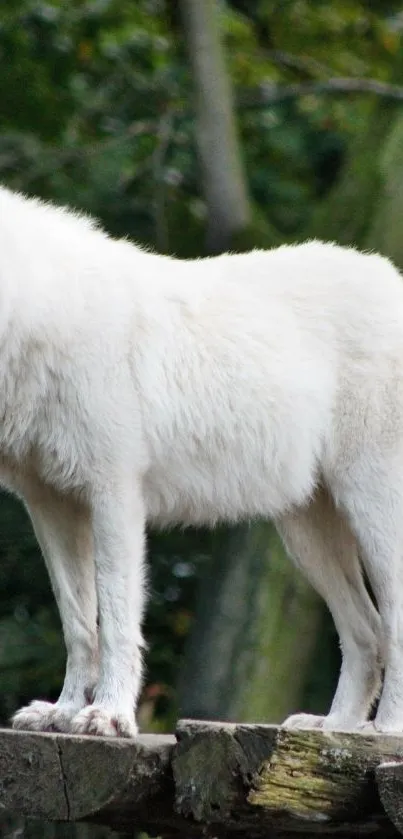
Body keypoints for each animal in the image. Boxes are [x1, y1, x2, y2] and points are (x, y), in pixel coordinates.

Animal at [0, 187, 403, 740]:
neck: (39, 314)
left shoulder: (115, 495)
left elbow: (117, 618)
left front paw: (109, 715)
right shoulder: (50, 506)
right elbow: (79, 623)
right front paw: (61, 712)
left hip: (370, 509)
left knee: (393, 620)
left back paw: (386, 729)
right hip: (306, 534)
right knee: (366, 631)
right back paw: (332, 727)